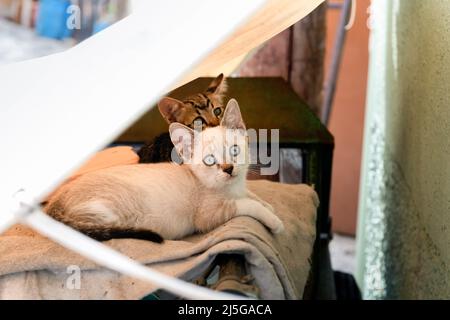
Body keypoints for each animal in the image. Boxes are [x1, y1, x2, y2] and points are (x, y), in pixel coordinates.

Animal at [45, 100, 284, 242]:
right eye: (209, 160)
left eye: (234, 150)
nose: (228, 169)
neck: (231, 188)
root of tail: (52, 206)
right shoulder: (209, 215)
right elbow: (247, 205)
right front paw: (275, 221)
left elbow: (252, 196)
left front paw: (269, 206)